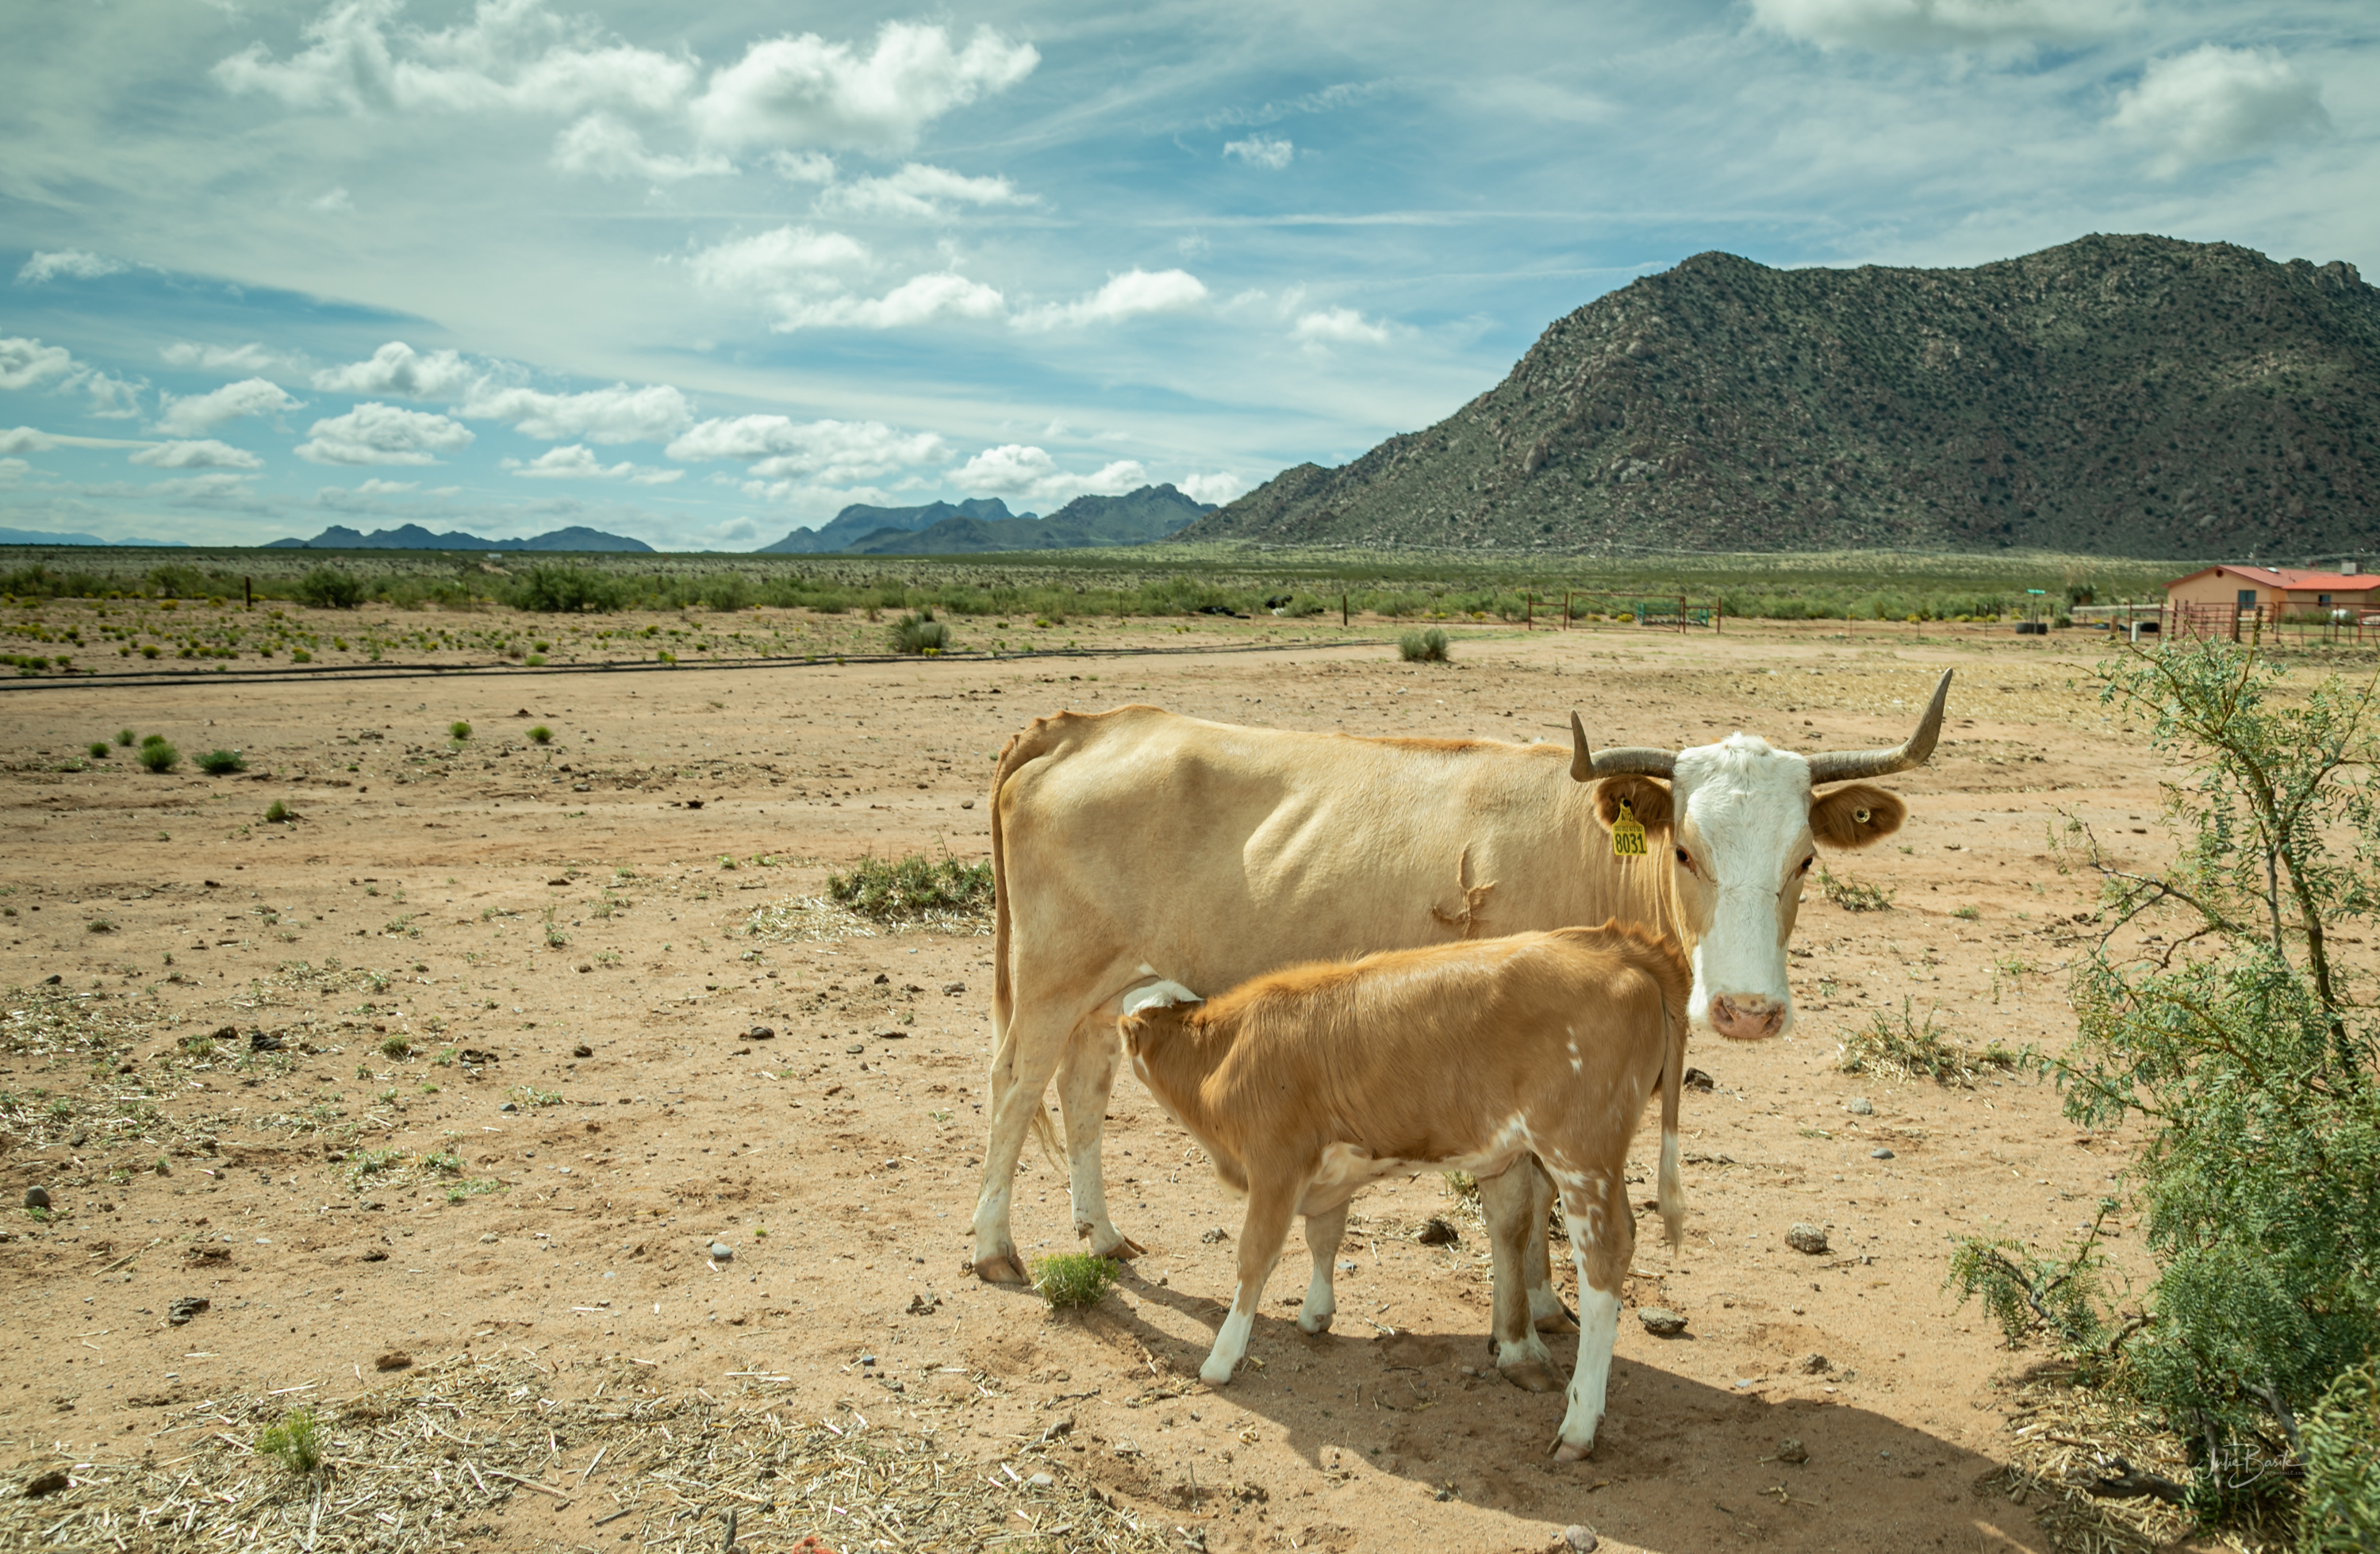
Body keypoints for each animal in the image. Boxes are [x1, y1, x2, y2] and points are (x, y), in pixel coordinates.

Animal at [971, 671, 1952, 1314]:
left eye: (1806, 859)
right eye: (1685, 850)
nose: (1748, 1009)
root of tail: (1087, 723)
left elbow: (1550, 1198)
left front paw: (1546, 1305)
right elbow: (1522, 1204)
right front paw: (1533, 1316)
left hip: (1109, 988)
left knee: (1082, 1092)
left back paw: (1101, 1235)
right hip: (1050, 978)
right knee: (1014, 1090)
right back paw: (994, 1249)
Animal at [1114, 923, 1695, 1456]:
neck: (1223, 1053)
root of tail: (1614, 944)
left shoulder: (1276, 1162)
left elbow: (1254, 1258)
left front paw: (1220, 1359)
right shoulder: (1328, 1176)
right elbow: (1324, 1237)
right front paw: (1315, 1313)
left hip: (1580, 1154)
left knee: (1604, 1258)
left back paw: (1578, 1424)